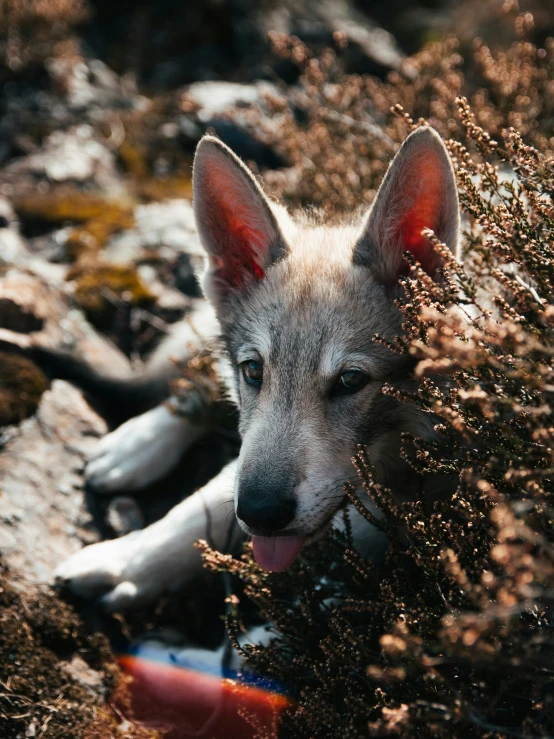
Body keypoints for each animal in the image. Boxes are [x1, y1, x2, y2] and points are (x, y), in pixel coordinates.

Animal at [55, 127, 458, 612]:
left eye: (351, 380)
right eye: (252, 371)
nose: (260, 513)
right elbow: (200, 507)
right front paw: (128, 560)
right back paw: (137, 445)